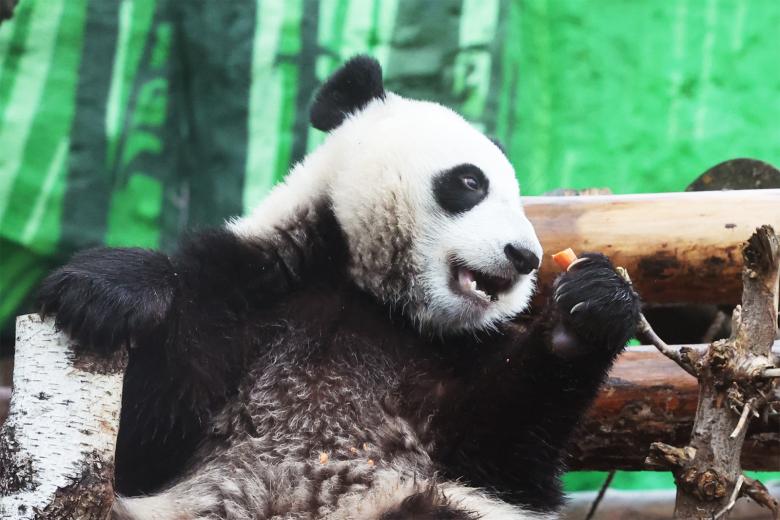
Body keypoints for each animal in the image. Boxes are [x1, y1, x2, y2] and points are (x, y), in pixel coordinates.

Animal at [37, 56, 640, 519]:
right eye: (471, 181)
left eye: (520, 201)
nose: (525, 256)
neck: (367, 294)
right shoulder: (250, 287)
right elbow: (146, 440)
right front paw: (110, 291)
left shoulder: (449, 358)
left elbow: (508, 458)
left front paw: (590, 310)